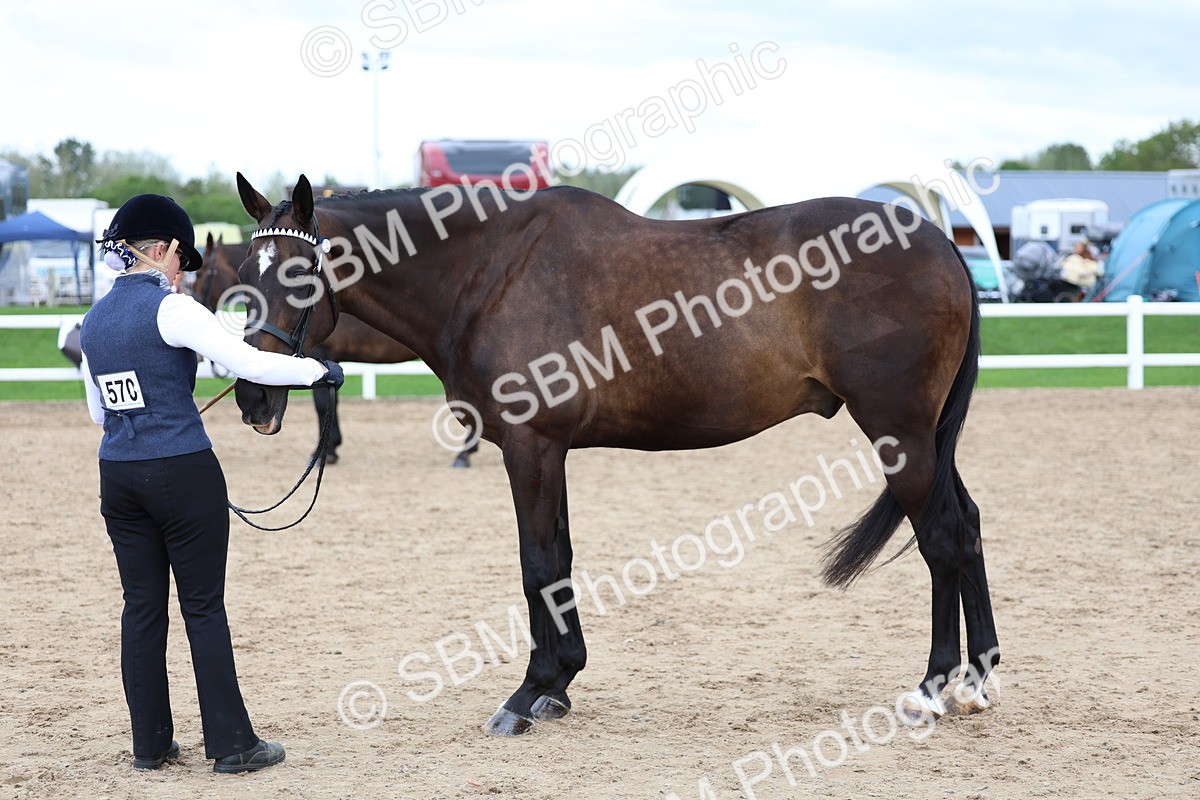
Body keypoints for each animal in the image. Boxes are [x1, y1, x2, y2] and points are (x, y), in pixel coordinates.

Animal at [194, 233, 481, 467]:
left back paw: (464, 453)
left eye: (202, 273)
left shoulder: (320, 354)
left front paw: (326, 451)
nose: (195, 303)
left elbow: (322, 405)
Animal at [232, 173, 1000, 736]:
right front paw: (559, 685)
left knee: (940, 539)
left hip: (899, 431)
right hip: (927, 437)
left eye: (302, 274)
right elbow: (560, 561)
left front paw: (527, 694)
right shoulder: (550, 450)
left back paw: (933, 689)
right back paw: (979, 680)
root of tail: (938, 241)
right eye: (244, 268)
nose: (252, 398)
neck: (490, 269)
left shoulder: (531, 447)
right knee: (965, 525)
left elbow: (537, 565)